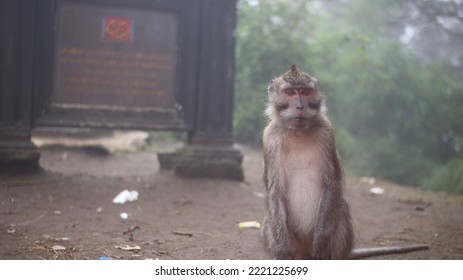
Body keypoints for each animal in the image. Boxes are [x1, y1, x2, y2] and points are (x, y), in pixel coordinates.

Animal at [262, 65, 430, 260]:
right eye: (290, 92)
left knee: (340, 208)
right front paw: (283, 252)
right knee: (269, 220)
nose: (300, 106)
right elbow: (275, 193)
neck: (297, 132)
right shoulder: (269, 139)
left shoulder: (327, 133)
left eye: (304, 92)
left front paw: (319, 248)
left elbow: (331, 185)